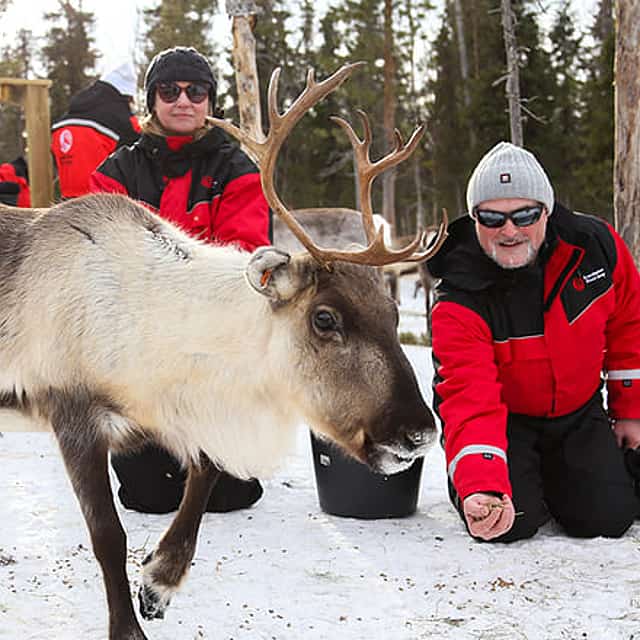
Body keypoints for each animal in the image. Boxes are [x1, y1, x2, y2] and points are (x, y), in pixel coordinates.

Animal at [0, 63, 447, 640]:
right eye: (324, 318)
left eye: (393, 314)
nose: (420, 432)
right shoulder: (73, 413)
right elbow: (107, 535)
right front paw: (129, 626)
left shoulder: (184, 409)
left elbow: (207, 474)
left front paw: (159, 582)